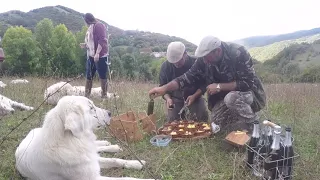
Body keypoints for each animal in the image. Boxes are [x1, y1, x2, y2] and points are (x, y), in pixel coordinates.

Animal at [15, 95, 154, 180]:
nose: (110, 113)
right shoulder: (92, 175)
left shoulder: (92, 160)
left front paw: (136, 163)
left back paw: (111, 145)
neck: (72, 141)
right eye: (91, 108)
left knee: (97, 146)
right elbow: (125, 177)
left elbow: (115, 160)